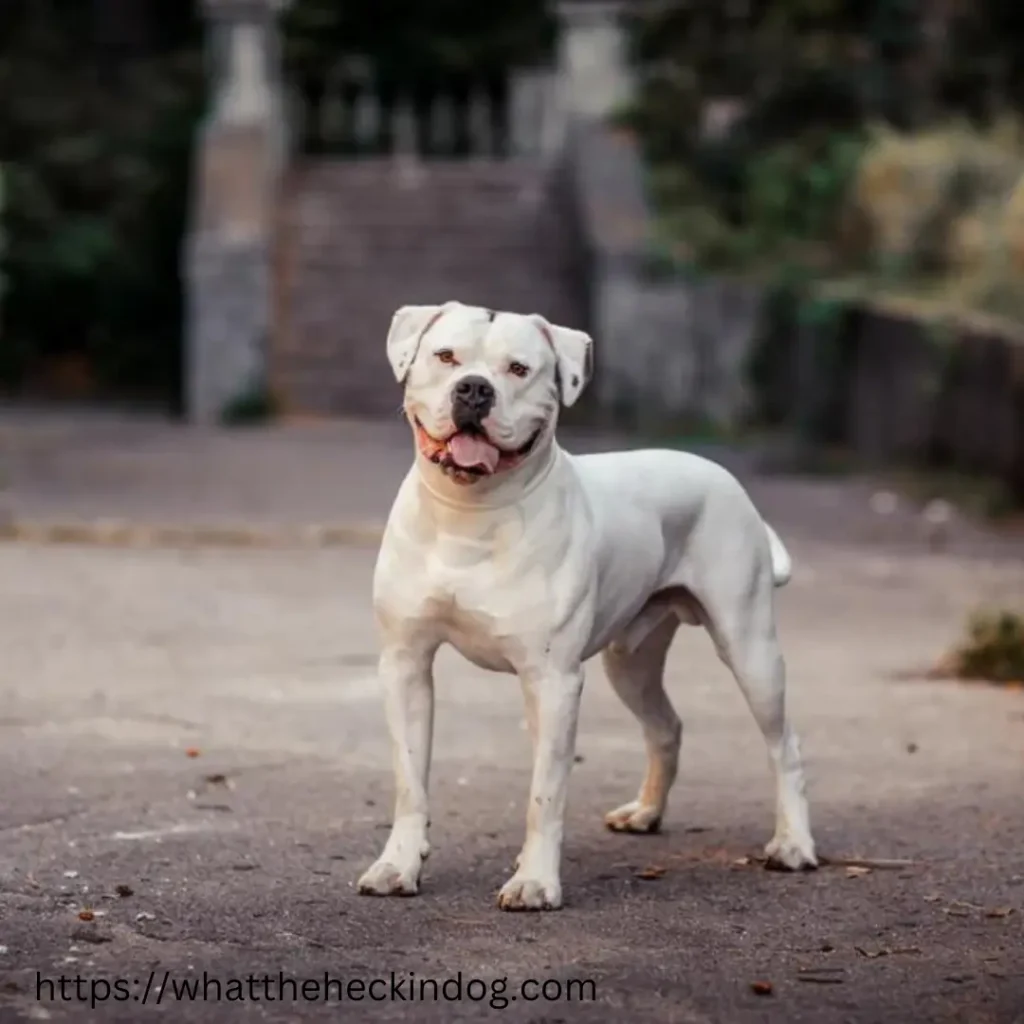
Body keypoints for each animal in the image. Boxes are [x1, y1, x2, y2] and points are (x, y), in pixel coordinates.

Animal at [360, 299, 815, 909]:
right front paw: (398, 865)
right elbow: (410, 782)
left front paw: (534, 881)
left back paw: (794, 845)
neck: (469, 516)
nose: (474, 389)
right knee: (665, 726)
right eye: (446, 356)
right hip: (631, 662)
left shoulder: (553, 680)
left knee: (783, 744)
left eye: (519, 369)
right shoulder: (405, 664)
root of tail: (722, 475)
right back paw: (645, 812)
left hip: (750, 648)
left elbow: (545, 794)